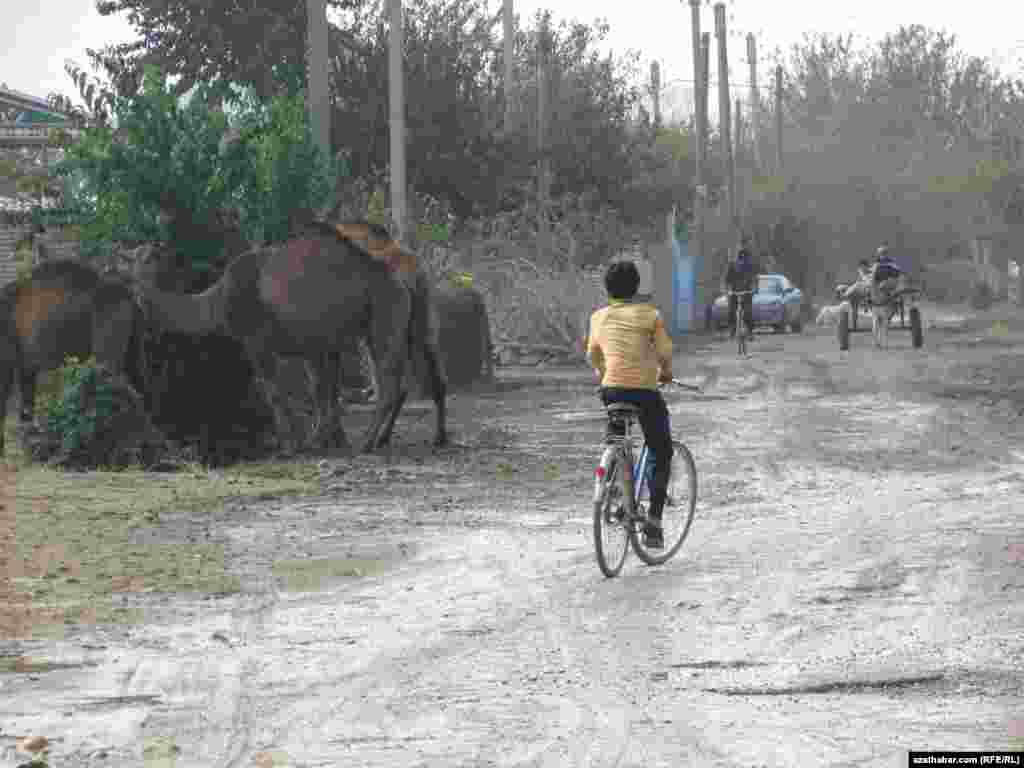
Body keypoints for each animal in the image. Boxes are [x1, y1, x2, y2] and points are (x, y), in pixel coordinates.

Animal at [0, 262, 146, 460]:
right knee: (138, 386)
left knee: (114, 386)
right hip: (132, 346)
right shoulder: (25, 362)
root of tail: (130, 297)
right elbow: (26, 399)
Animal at [130, 219, 446, 454]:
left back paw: (369, 442)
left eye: (140, 255)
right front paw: (323, 441)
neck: (217, 299)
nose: (132, 255)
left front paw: (292, 445)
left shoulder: (258, 342)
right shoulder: (316, 344)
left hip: (384, 315)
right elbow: (322, 391)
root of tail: (401, 278)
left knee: (390, 380)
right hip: (402, 321)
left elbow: (277, 391)